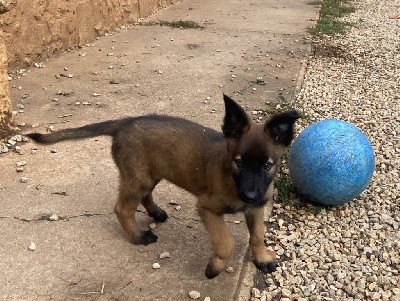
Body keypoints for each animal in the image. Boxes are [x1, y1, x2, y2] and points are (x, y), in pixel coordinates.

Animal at [26, 93, 298, 276]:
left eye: (267, 165)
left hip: (149, 173)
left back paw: (155, 212)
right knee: (122, 208)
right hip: (139, 177)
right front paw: (216, 266)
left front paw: (262, 259)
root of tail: (125, 122)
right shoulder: (207, 208)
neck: (232, 178)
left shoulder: (257, 209)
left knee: (144, 196)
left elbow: (258, 236)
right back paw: (138, 236)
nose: (250, 195)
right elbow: (226, 242)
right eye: (239, 162)